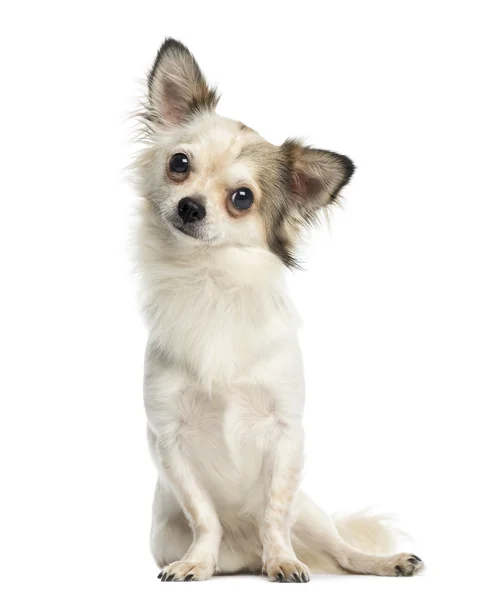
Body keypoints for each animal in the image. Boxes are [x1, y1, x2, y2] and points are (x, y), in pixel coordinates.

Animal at [133, 37, 424, 580]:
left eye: (242, 198)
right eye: (179, 164)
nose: (189, 206)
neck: (211, 281)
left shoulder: (287, 433)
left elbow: (274, 510)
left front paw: (283, 561)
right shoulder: (169, 439)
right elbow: (204, 514)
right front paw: (196, 564)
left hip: (312, 516)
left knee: (340, 550)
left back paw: (384, 561)